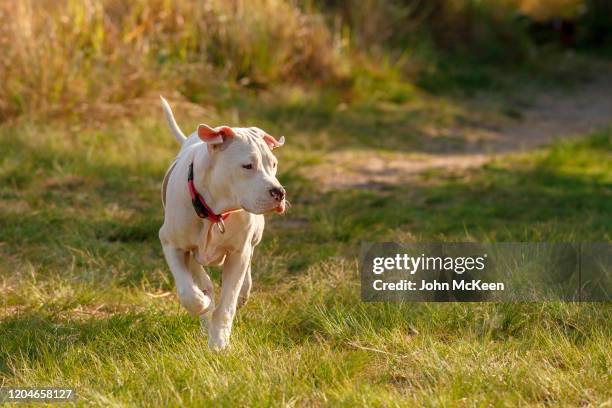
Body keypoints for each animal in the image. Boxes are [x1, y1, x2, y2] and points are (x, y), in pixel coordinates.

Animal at [159, 96, 286, 350]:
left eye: (274, 164)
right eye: (247, 166)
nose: (279, 192)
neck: (215, 212)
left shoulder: (238, 252)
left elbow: (227, 303)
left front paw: (218, 342)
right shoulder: (171, 243)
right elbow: (187, 291)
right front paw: (203, 303)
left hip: (255, 235)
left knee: (248, 261)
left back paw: (242, 292)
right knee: (198, 272)